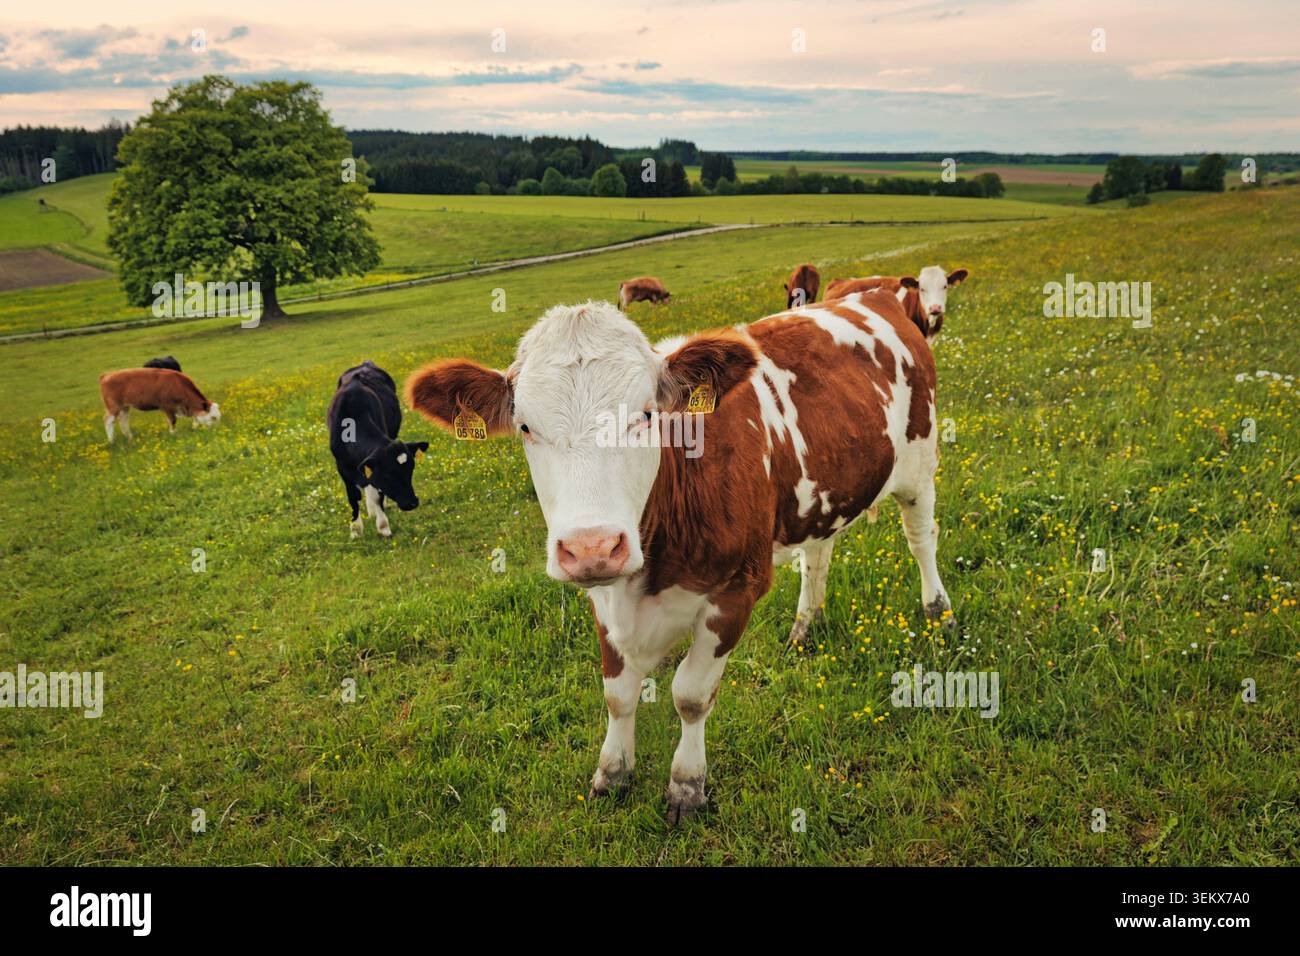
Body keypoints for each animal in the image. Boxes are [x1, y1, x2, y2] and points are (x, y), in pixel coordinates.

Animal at [327, 361, 428, 538]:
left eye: (411, 470)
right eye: (388, 474)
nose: (412, 503)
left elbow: (376, 492)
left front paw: (383, 525)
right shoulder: (342, 465)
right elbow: (353, 495)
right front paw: (355, 529)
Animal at [404, 293, 952, 824]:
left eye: (647, 415)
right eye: (524, 427)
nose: (591, 546)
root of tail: (874, 292)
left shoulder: (737, 590)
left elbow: (690, 695)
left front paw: (687, 786)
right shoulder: (604, 597)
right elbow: (618, 693)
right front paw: (612, 773)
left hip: (919, 460)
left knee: (921, 537)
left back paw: (937, 611)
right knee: (818, 553)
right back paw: (804, 626)